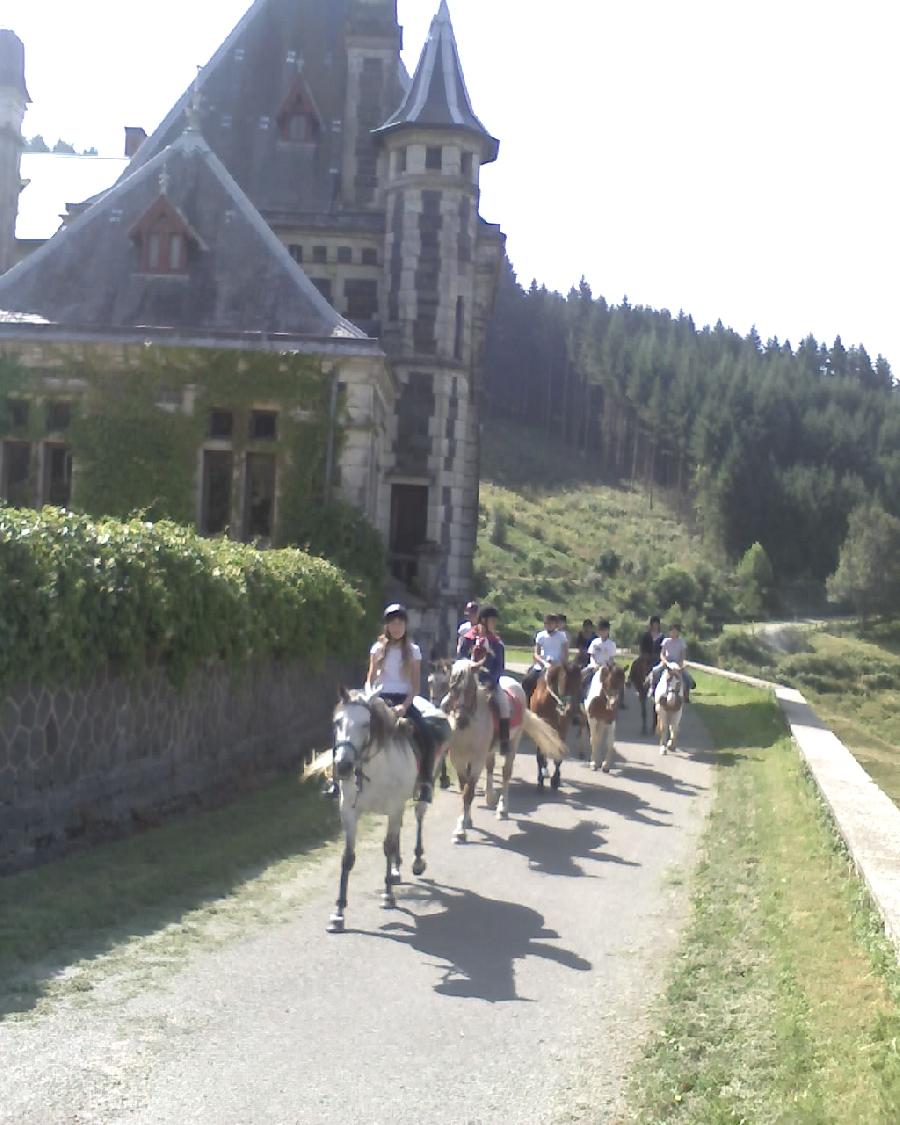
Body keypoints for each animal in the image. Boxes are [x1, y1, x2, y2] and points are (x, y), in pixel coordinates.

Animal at [324, 688, 445, 936]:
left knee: (418, 819)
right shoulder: (349, 812)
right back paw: (397, 870)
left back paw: (417, 862)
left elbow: (387, 848)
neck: (374, 770)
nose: (343, 766)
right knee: (399, 831)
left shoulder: (394, 806)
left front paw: (388, 895)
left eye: (365, 724)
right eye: (336, 722)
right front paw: (338, 913)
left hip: (419, 796)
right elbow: (347, 858)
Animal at [445, 657, 567, 837]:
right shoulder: (458, 759)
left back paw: (502, 809)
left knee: (505, 774)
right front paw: (465, 821)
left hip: (512, 745)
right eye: (452, 687)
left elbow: (468, 792)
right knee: (490, 768)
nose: (461, 720)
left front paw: (461, 830)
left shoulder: (477, 759)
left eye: (471, 688)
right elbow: (463, 789)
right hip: (490, 751)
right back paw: (490, 796)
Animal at [526, 657, 585, 792]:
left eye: (580, 684)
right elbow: (540, 755)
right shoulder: (540, 727)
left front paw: (555, 780)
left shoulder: (563, 728)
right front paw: (540, 780)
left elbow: (558, 754)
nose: (572, 710)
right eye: (565, 682)